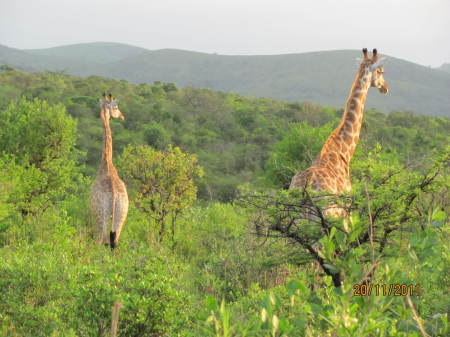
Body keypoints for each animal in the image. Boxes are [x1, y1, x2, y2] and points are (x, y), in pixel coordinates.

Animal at [290, 48, 388, 217]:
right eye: (380, 71)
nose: (385, 87)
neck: (342, 151)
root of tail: (305, 187)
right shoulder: (347, 210)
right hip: (329, 213)